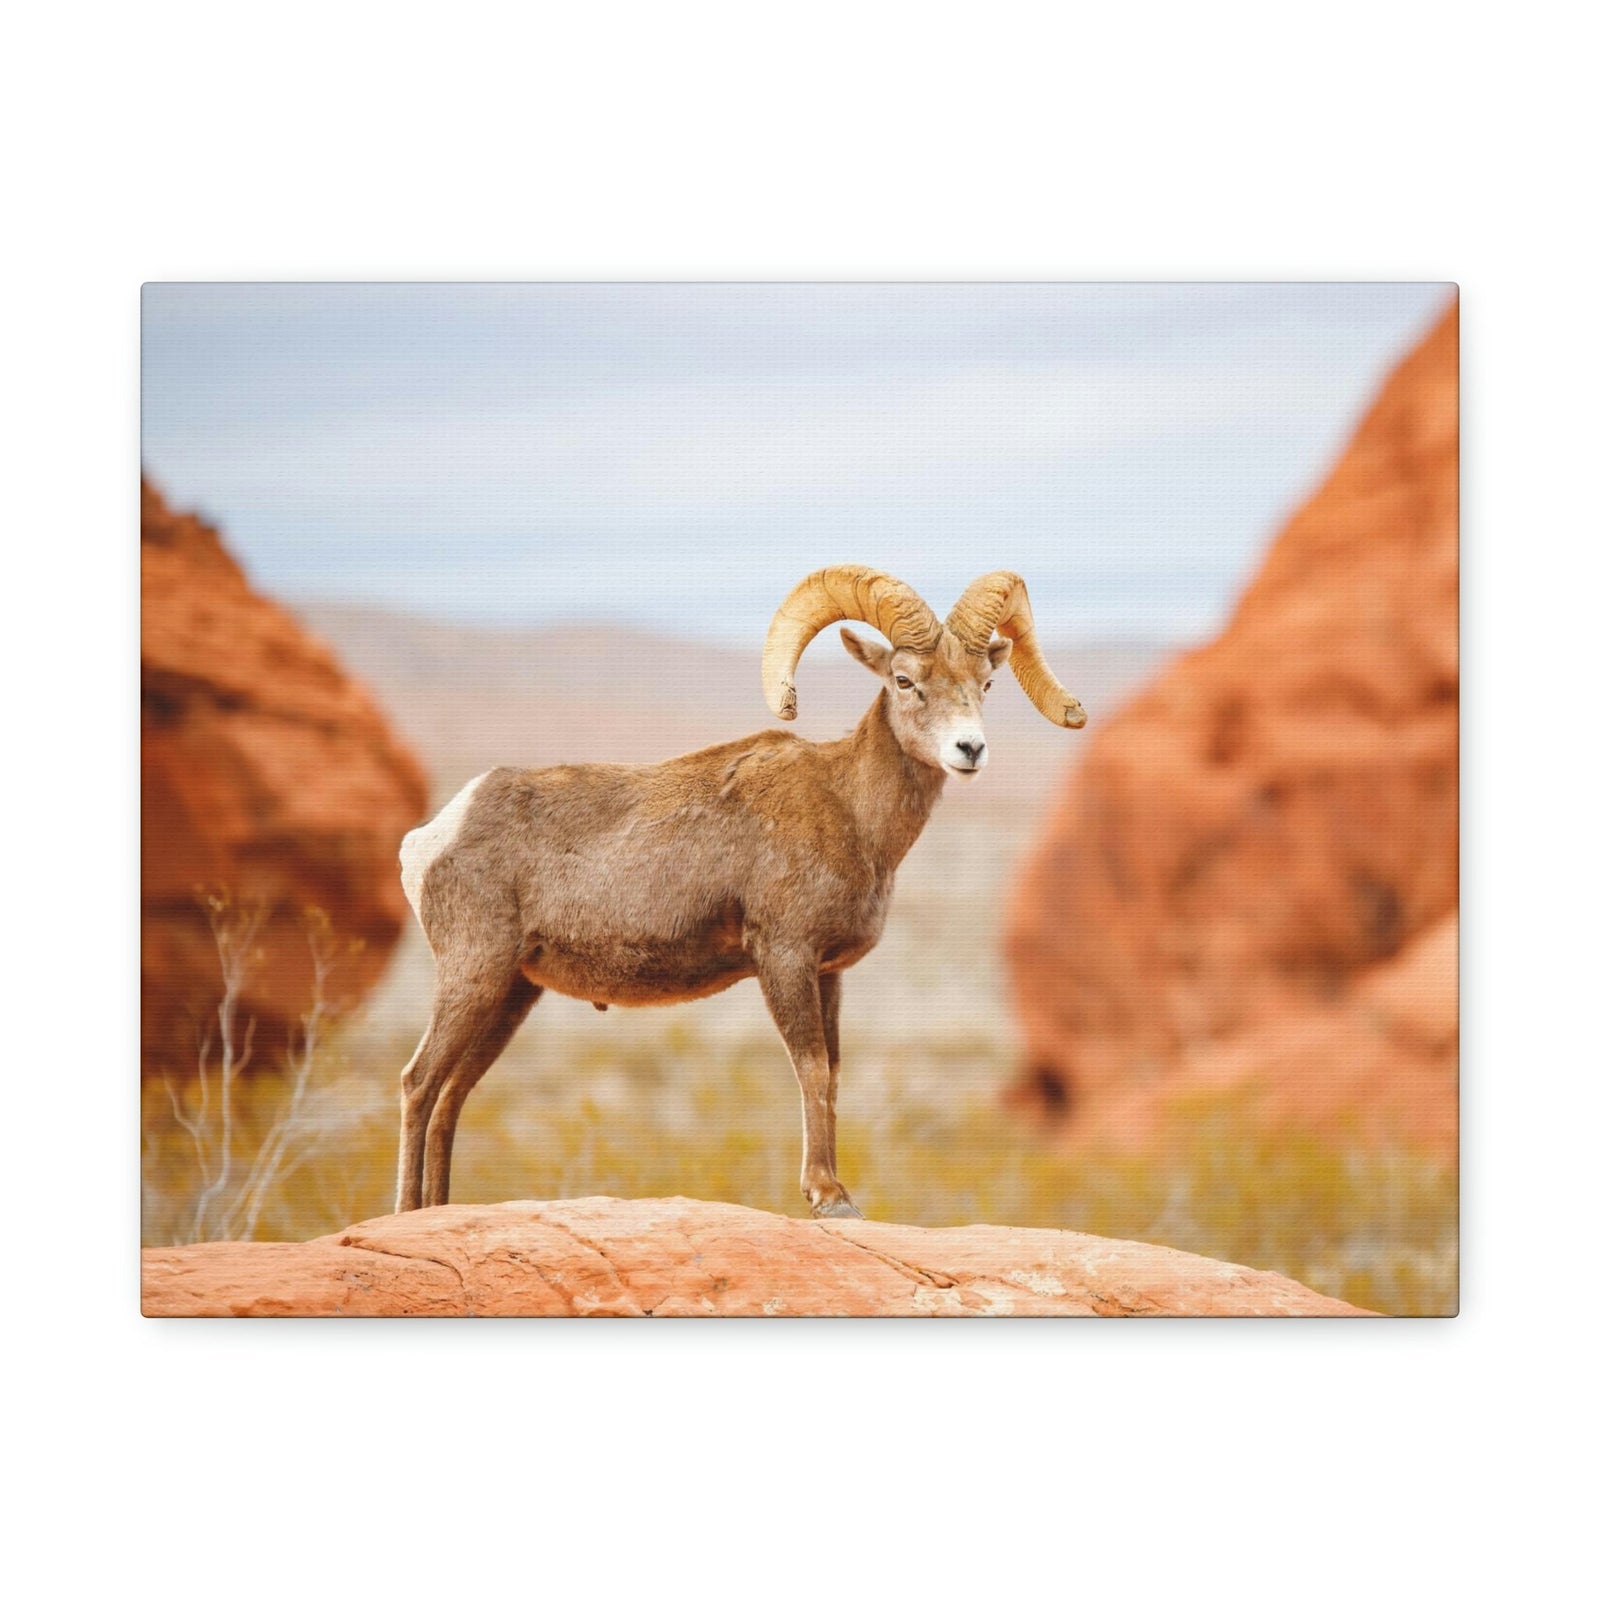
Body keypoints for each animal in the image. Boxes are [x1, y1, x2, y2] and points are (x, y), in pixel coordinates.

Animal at [394, 567, 1087, 1218]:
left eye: (986, 683)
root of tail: (433, 836)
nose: (969, 749)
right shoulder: (783, 958)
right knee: (420, 1083)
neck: (850, 811)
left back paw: (438, 1211)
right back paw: (406, 1211)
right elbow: (810, 1067)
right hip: (474, 975)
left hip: (512, 994)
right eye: (904, 680)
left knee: (453, 1093)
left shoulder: (827, 972)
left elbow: (833, 1071)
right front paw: (828, 1196)